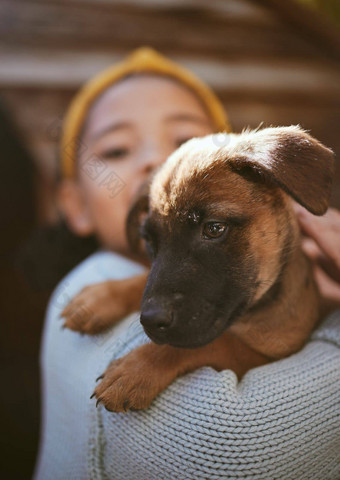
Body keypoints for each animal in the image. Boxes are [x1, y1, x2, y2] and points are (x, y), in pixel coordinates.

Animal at [61, 125, 334, 410]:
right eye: (149, 241)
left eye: (214, 228)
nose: (150, 321)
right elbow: (145, 278)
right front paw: (101, 297)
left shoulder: (272, 350)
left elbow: (212, 343)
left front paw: (137, 368)